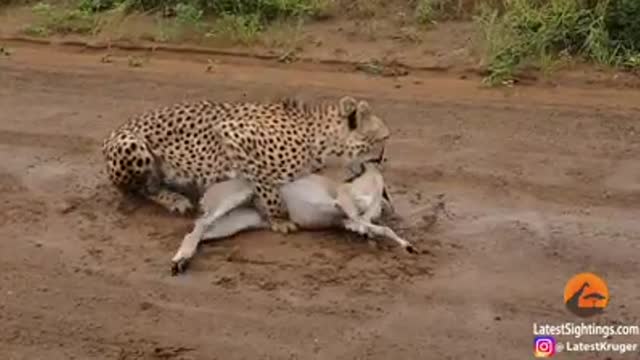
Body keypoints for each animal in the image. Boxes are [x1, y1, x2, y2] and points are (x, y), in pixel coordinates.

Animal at [102, 95, 390, 233]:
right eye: (383, 139)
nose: (383, 158)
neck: (319, 139)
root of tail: (114, 130)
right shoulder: (231, 132)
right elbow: (265, 183)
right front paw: (278, 218)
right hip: (133, 146)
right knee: (141, 189)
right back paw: (173, 198)